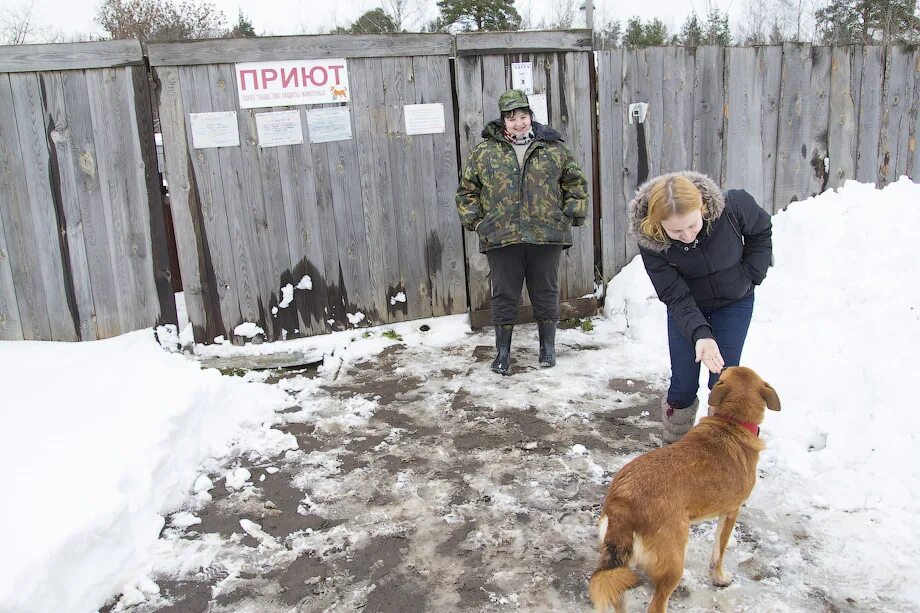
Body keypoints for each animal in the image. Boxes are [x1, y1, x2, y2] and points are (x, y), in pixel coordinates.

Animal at [588, 366, 784, 608]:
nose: (721, 366)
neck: (732, 422)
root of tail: (622, 502)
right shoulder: (731, 512)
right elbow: (718, 553)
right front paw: (719, 578)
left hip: (619, 569)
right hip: (673, 564)